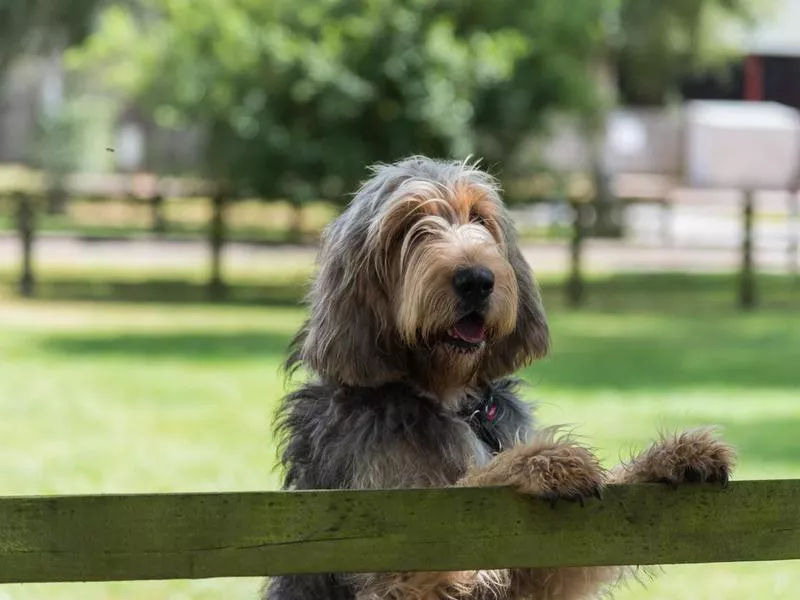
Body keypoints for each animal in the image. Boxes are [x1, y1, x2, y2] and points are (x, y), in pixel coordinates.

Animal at [268, 157, 736, 600]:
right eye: (407, 226)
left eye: (479, 217)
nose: (476, 279)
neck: (450, 398)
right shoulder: (396, 544)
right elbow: (471, 485)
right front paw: (542, 462)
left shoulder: (537, 568)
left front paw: (673, 455)